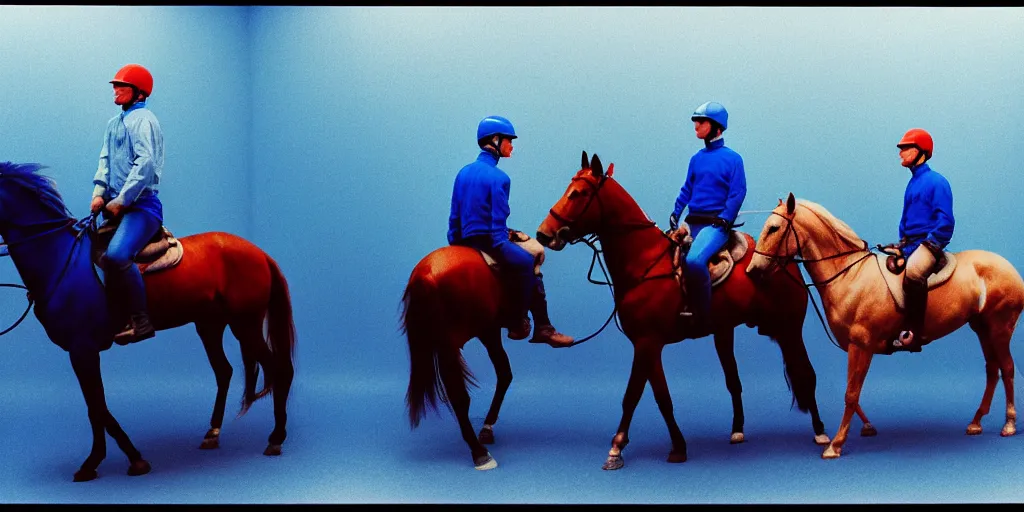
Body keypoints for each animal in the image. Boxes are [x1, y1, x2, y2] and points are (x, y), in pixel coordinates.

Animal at [0, 161, 296, 481]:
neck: (61, 262)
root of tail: (260, 253)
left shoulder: (83, 351)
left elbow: (97, 407)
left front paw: (111, 461)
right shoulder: (81, 353)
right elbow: (97, 407)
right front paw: (115, 459)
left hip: (246, 325)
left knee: (280, 369)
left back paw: (276, 439)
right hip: (210, 326)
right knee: (224, 372)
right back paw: (212, 434)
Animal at [536, 150, 831, 468]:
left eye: (578, 193)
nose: (543, 234)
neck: (644, 262)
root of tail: (785, 261)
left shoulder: (647, 344)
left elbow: (640, 395)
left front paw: (629, 447)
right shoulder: (646, 346)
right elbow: (654, 396)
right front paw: (659, 445)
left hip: (790, 330)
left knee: (806, 374)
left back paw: (820, 432)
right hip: (727, 332)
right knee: (734, 380)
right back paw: (737, 430)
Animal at [749, 193, 1019, 458]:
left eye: (773, 228)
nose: (752, 270)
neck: (850, 275)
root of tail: (1010, 269)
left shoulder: (861, 346)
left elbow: (851, 394)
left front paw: (836, 444)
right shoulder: (855, 348)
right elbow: (853, 392)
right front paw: (866, 427)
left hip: (999, 329)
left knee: (1007, 368)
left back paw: (1009, 424)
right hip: (982, 328)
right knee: (992, 370)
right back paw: (976, 422)